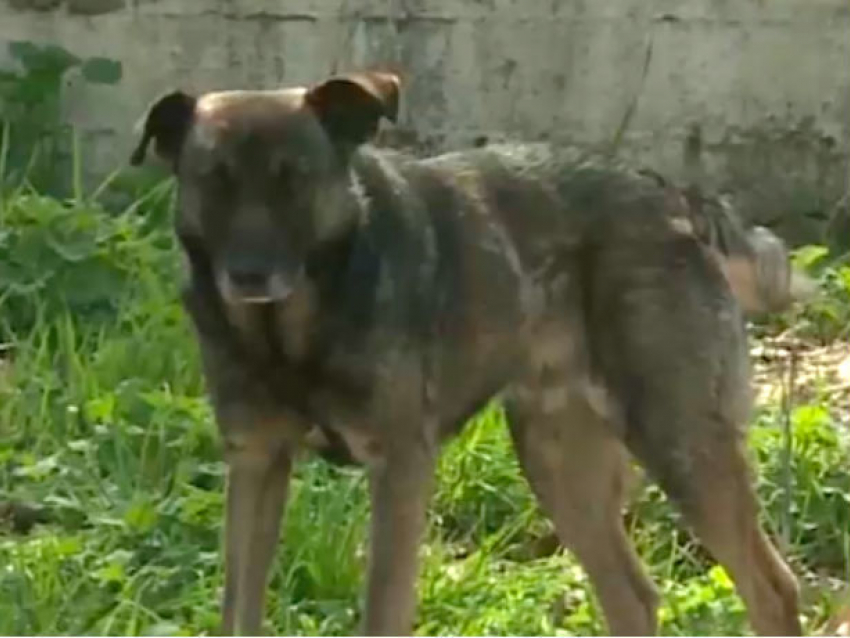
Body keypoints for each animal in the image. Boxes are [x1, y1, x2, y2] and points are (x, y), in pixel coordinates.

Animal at [129, 72, 804, 636]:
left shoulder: (400, 467)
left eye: (293, 181)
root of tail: (669, 197)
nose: (247, 276)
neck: (292, 334)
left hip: (677, 439)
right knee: (633, 597)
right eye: (214, 181)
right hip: (559, 462)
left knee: (772, 589)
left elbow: (382, 612)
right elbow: (238, 610)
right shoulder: (255, 463)